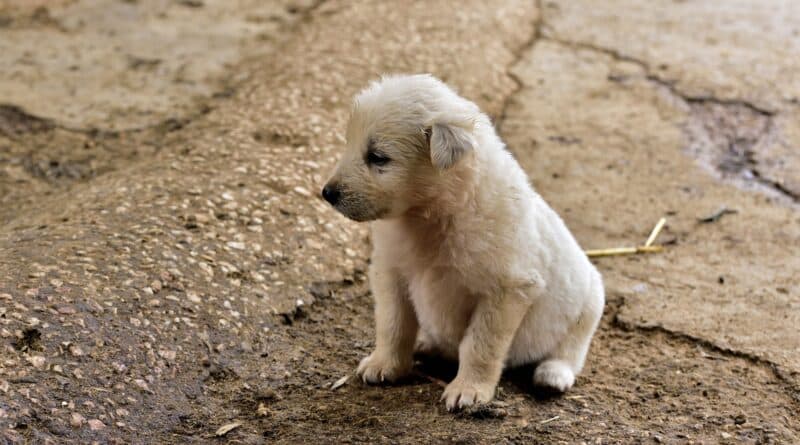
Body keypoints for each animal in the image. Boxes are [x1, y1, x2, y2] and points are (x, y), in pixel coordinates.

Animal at [322, 73, 604, 410]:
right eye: (349, 144)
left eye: (378, 157)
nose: (327, 193)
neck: (433, 214)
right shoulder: (390, 271)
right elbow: (393, 324)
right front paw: (384, 365)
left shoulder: (508, 289)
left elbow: (480, 344)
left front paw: (469, 390)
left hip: (590, 303)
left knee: (570, 350)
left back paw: (552, 375)